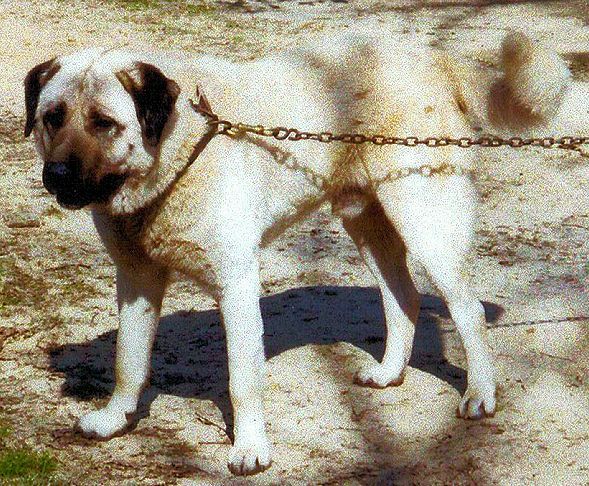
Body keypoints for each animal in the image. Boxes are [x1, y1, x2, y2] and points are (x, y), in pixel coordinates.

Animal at [23, 33, 576, 474]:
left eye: (104, 123)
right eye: (53, 118)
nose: (57, 176)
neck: (180, 147)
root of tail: (432, 57)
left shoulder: (236, 285)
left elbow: (243, 380)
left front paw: (250, 449)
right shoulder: (137, 281)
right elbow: (128, 362)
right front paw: (115, 418)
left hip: (427, 224)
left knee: (468, 310)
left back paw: (480, 394)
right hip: (368, 225)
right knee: (404, 298)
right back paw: (390, 373)